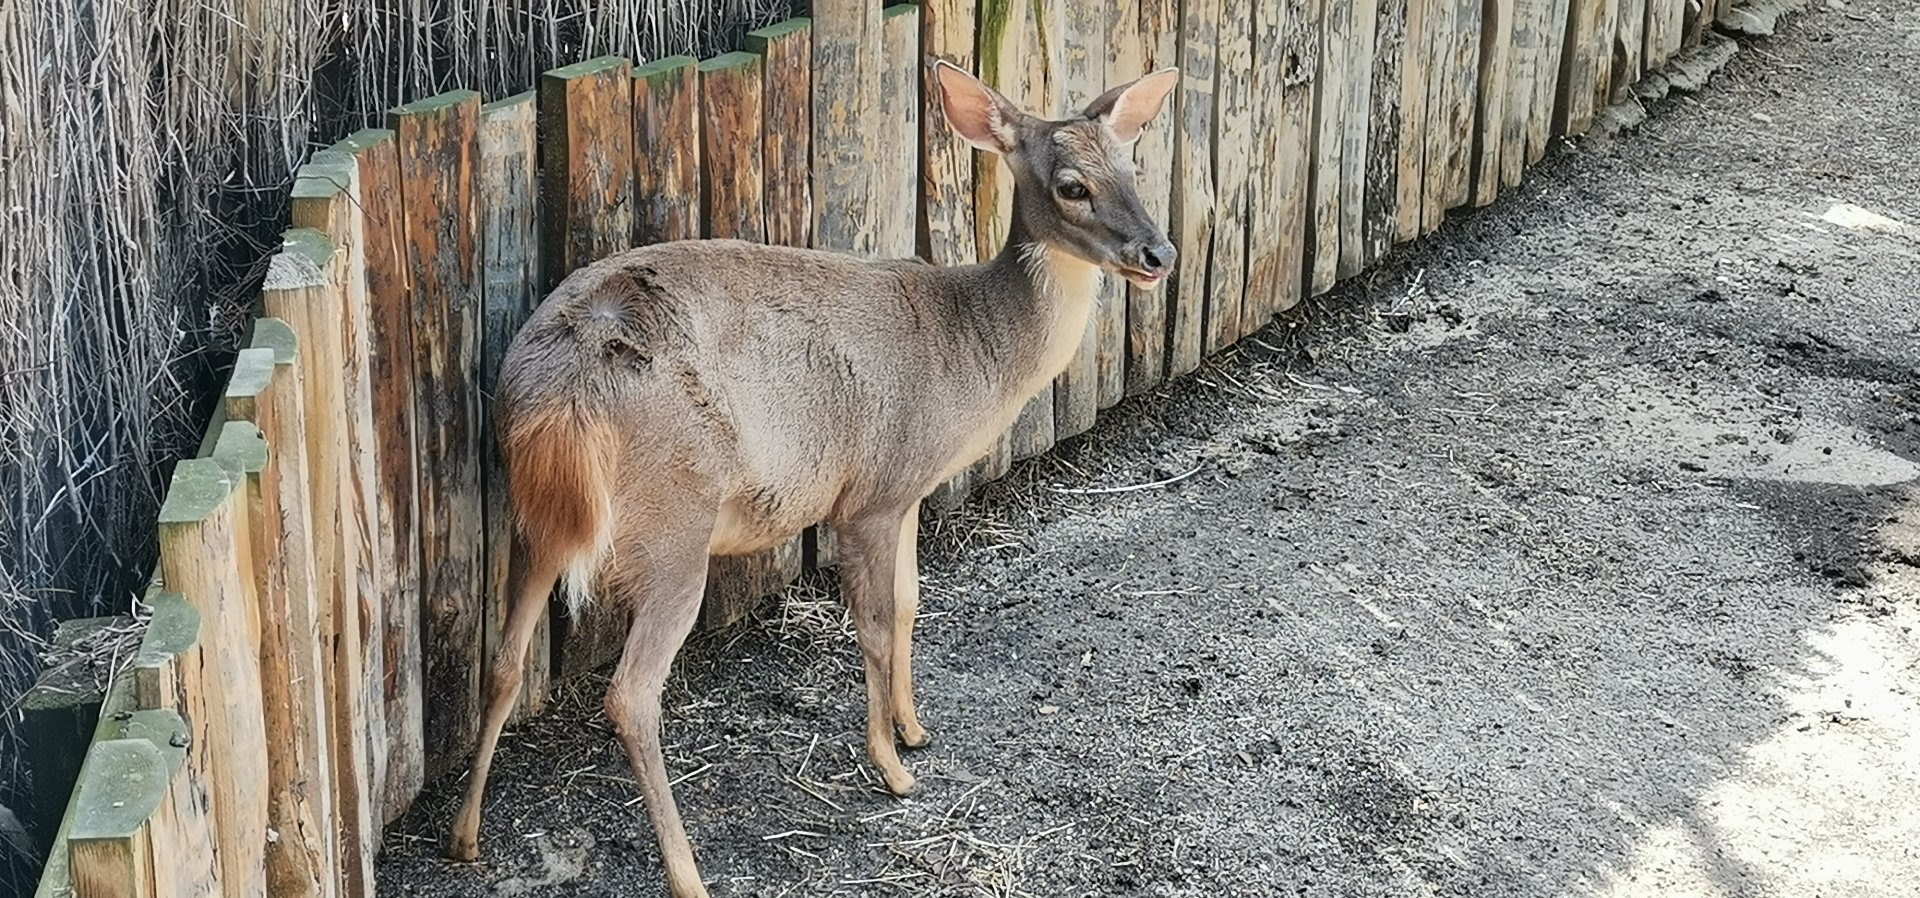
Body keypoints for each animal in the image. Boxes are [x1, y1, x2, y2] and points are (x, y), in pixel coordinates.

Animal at [445, 60, 1181, 897]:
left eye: (1132, 165)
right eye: (1071, 186)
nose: (1159, 254)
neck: (971, 355)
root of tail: (560, 391)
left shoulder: (906, 491)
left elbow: (911, 603)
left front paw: (915, 729)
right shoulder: (871, 493)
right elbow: (875, 621)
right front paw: (893, 767)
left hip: (535, 515)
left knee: (503, 662)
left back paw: (464, 836)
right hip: (672, 519)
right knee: (629, 696)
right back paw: (689, 874)